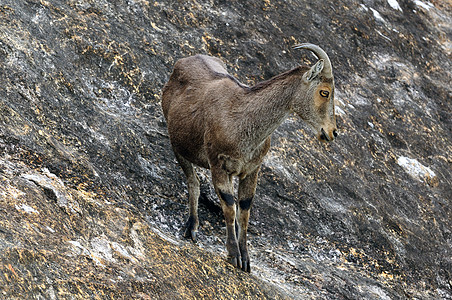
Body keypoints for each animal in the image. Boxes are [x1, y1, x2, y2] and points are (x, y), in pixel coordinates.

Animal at [162, 44, 336, 272]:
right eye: (324, 92)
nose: (331, 132)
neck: (244, 120)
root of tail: (183, 62)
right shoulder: (218, 164)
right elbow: (229, 205)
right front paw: (233, 254)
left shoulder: (252, 170)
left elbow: (244, 209)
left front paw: (245, 259)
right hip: (178, 146)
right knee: (194, 182)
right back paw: (191, 227)